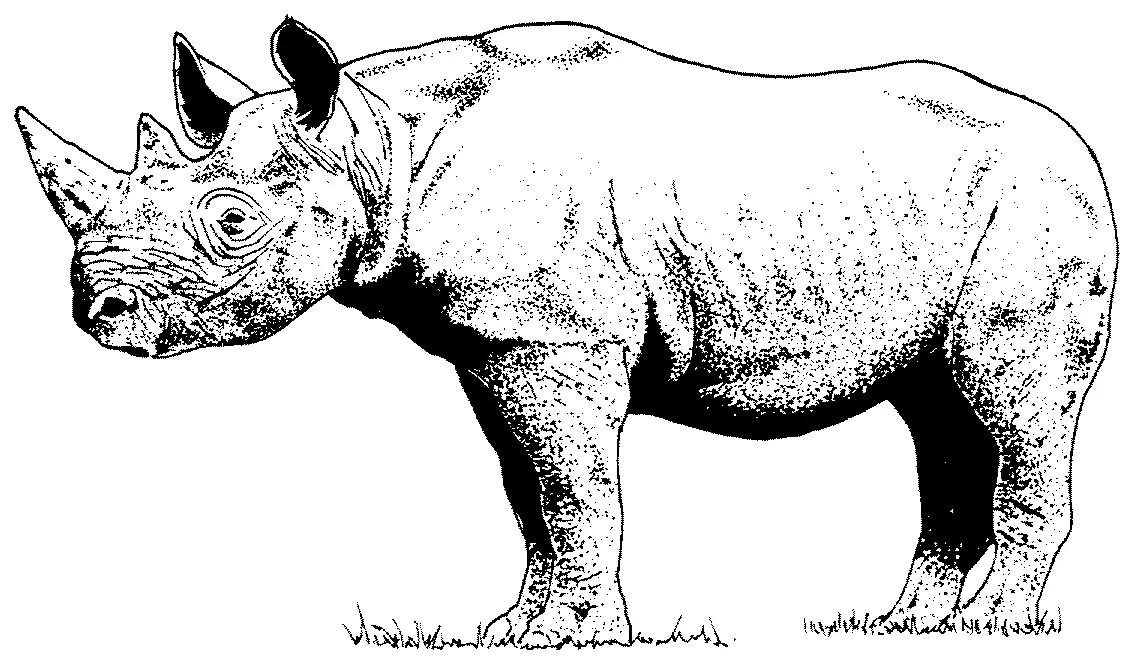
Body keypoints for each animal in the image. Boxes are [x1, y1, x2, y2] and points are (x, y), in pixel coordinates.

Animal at [15, 18, 1116, 644]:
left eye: (234, 221)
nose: (100, 315)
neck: (384, 147)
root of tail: (1079, 146)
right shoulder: (499, 341)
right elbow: (529, 491)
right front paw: (512, 630)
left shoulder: (555, 337)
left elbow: (573, 489)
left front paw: (576, 640)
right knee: (937, 412)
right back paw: (910, 625)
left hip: (1036, 206)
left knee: (1009, 402)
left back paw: (1000, 624)